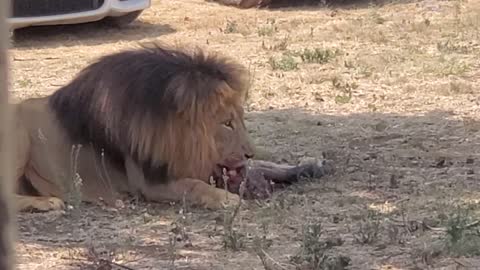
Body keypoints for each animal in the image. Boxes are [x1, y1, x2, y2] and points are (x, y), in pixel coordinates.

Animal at [11, 43, 255, 212]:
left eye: (241, 119)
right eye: (227, 123)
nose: (250, 155)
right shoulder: (147, 181)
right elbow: (194, 185)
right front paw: (227, 198)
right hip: (19, 135)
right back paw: (46, 202)